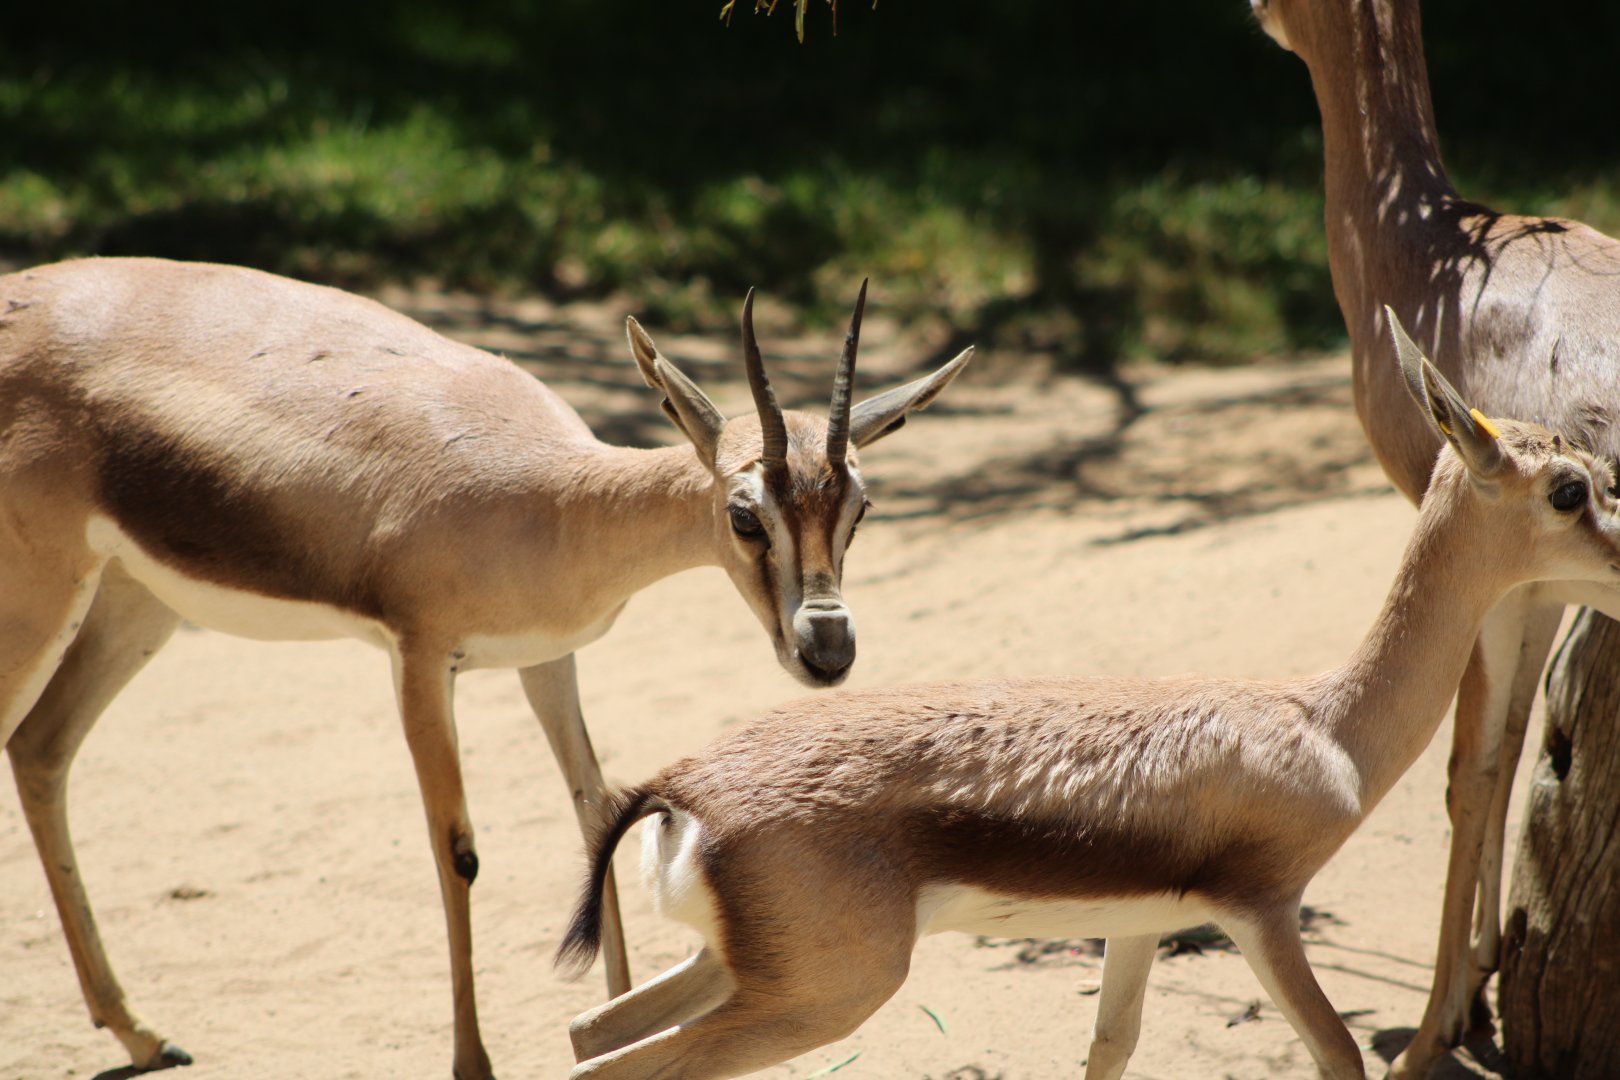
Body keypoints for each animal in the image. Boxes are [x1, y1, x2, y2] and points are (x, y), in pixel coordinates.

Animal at [0, 256, 970, 1080]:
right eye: (744, 514)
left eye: (859, 506)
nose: (827, 650)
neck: (546, 497)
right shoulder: (421, 659)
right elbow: (455, 848)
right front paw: (476, 1063)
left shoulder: (548, 658)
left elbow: (593, 811)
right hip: (44, 595)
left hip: (137, 600)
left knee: (42, 749)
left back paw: (142, 1033)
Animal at [554, 315, 1620, 1080]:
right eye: (1571, 489)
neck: (1325, 727)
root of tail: (684, 786)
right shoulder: (1262, 913)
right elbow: (1340, 1054)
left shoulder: (1140, 929)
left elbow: (1109, 1051)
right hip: (822, 993)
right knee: (616, 1068)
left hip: (737, 972)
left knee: (587, 1033)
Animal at [1249, 2, 1620, 1073]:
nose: (1257, 13)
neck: (1415, 258)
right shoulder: (1538, 594)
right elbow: (1511, 755)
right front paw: (1484, 984)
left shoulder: (1502, 590)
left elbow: (1472, 773)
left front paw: (1433, 1030)